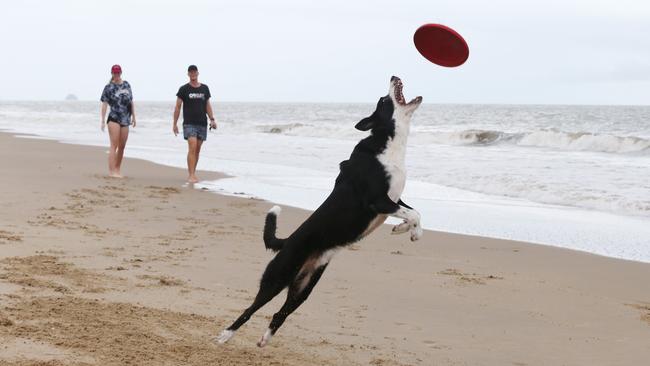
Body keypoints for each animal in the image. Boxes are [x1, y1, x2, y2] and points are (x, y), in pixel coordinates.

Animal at [215, 76, 422, 346]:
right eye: (384, 100)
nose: (394, 77)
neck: (388, 143)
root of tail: (286, 242)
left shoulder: (394, 199)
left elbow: (414, 212)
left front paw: (403, 230)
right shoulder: (377, 200)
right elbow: (414, 213)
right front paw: (411, 231)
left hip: (305, 286)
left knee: (280, 313)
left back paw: (265, 339)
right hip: (277, 278)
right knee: (250, 309)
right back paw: (225, 335)